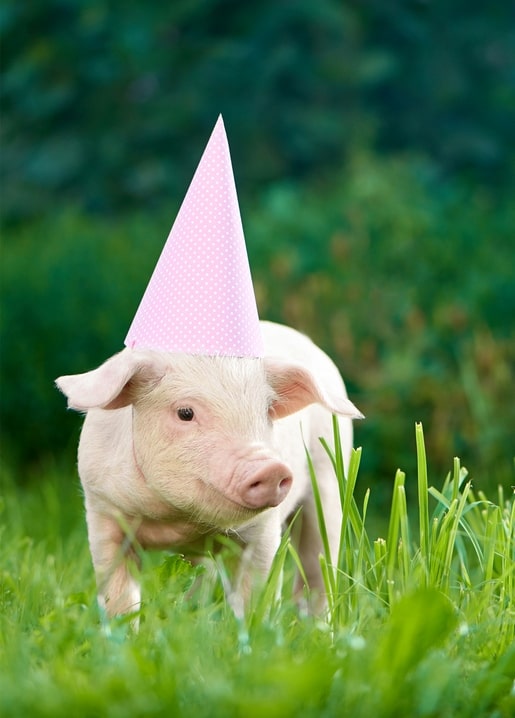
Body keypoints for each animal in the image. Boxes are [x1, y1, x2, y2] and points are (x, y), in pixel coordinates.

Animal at [56, 320, 362, 619]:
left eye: (266, 411)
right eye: (185, 413)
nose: (270, 468)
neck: (179, 521)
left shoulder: (263, 529)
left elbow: (253, 594)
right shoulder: (103, 510)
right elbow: (118, 593)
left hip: (329, 477)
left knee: (318, 560)